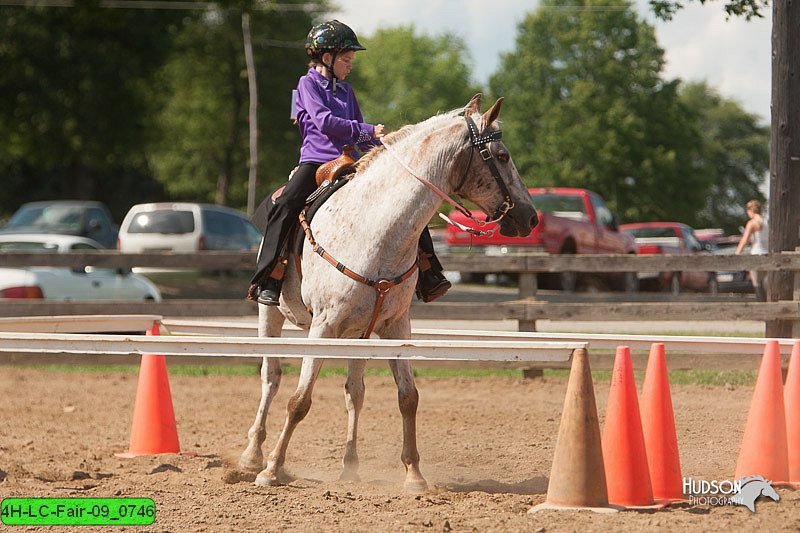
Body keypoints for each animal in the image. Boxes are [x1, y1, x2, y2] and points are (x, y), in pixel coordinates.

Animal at [238, 93, 536, 492]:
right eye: (502, 155)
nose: (530, 216)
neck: (375, 229)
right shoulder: (322, 328)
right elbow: (299, 401)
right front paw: (272, 469)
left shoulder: (396, 326)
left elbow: (408, 397)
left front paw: (414, 475)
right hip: (270, 314)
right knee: (271, 379)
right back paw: (252, 455)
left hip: (359, 334)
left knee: (354, 391)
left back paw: (350, 466)